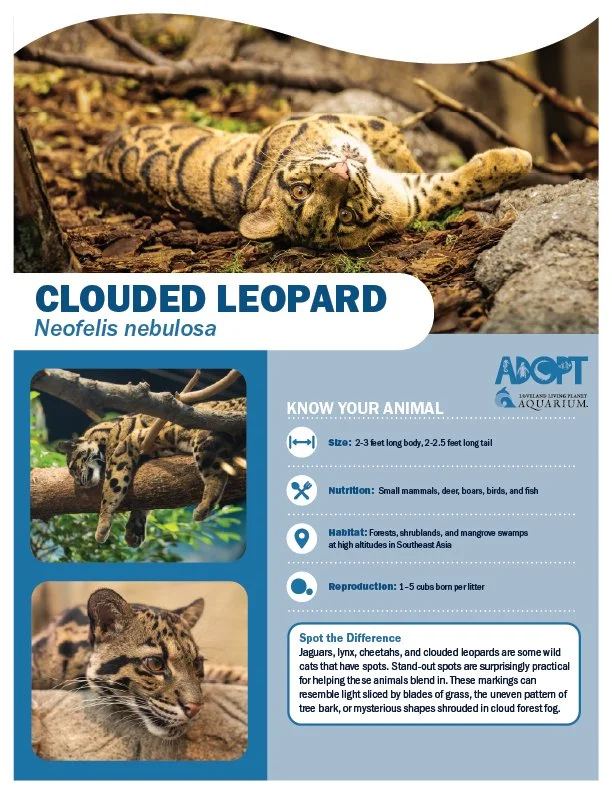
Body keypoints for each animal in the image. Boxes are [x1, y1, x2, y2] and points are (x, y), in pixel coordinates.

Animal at [58, 396, 246, 547]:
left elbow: (111, 489)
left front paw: (102, 525)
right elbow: (145, 500)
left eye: (72, 468)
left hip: (203, 438)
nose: (79, 483)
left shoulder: (123, 449)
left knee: (216, 475)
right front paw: (134, 529)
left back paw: (204, 506)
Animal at [87, 113, 532, 250]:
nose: (342, 172)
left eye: (301, 191)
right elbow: (446, 182)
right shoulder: (409, 194)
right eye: (343, 215)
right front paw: (516, 160)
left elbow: (403, 148)